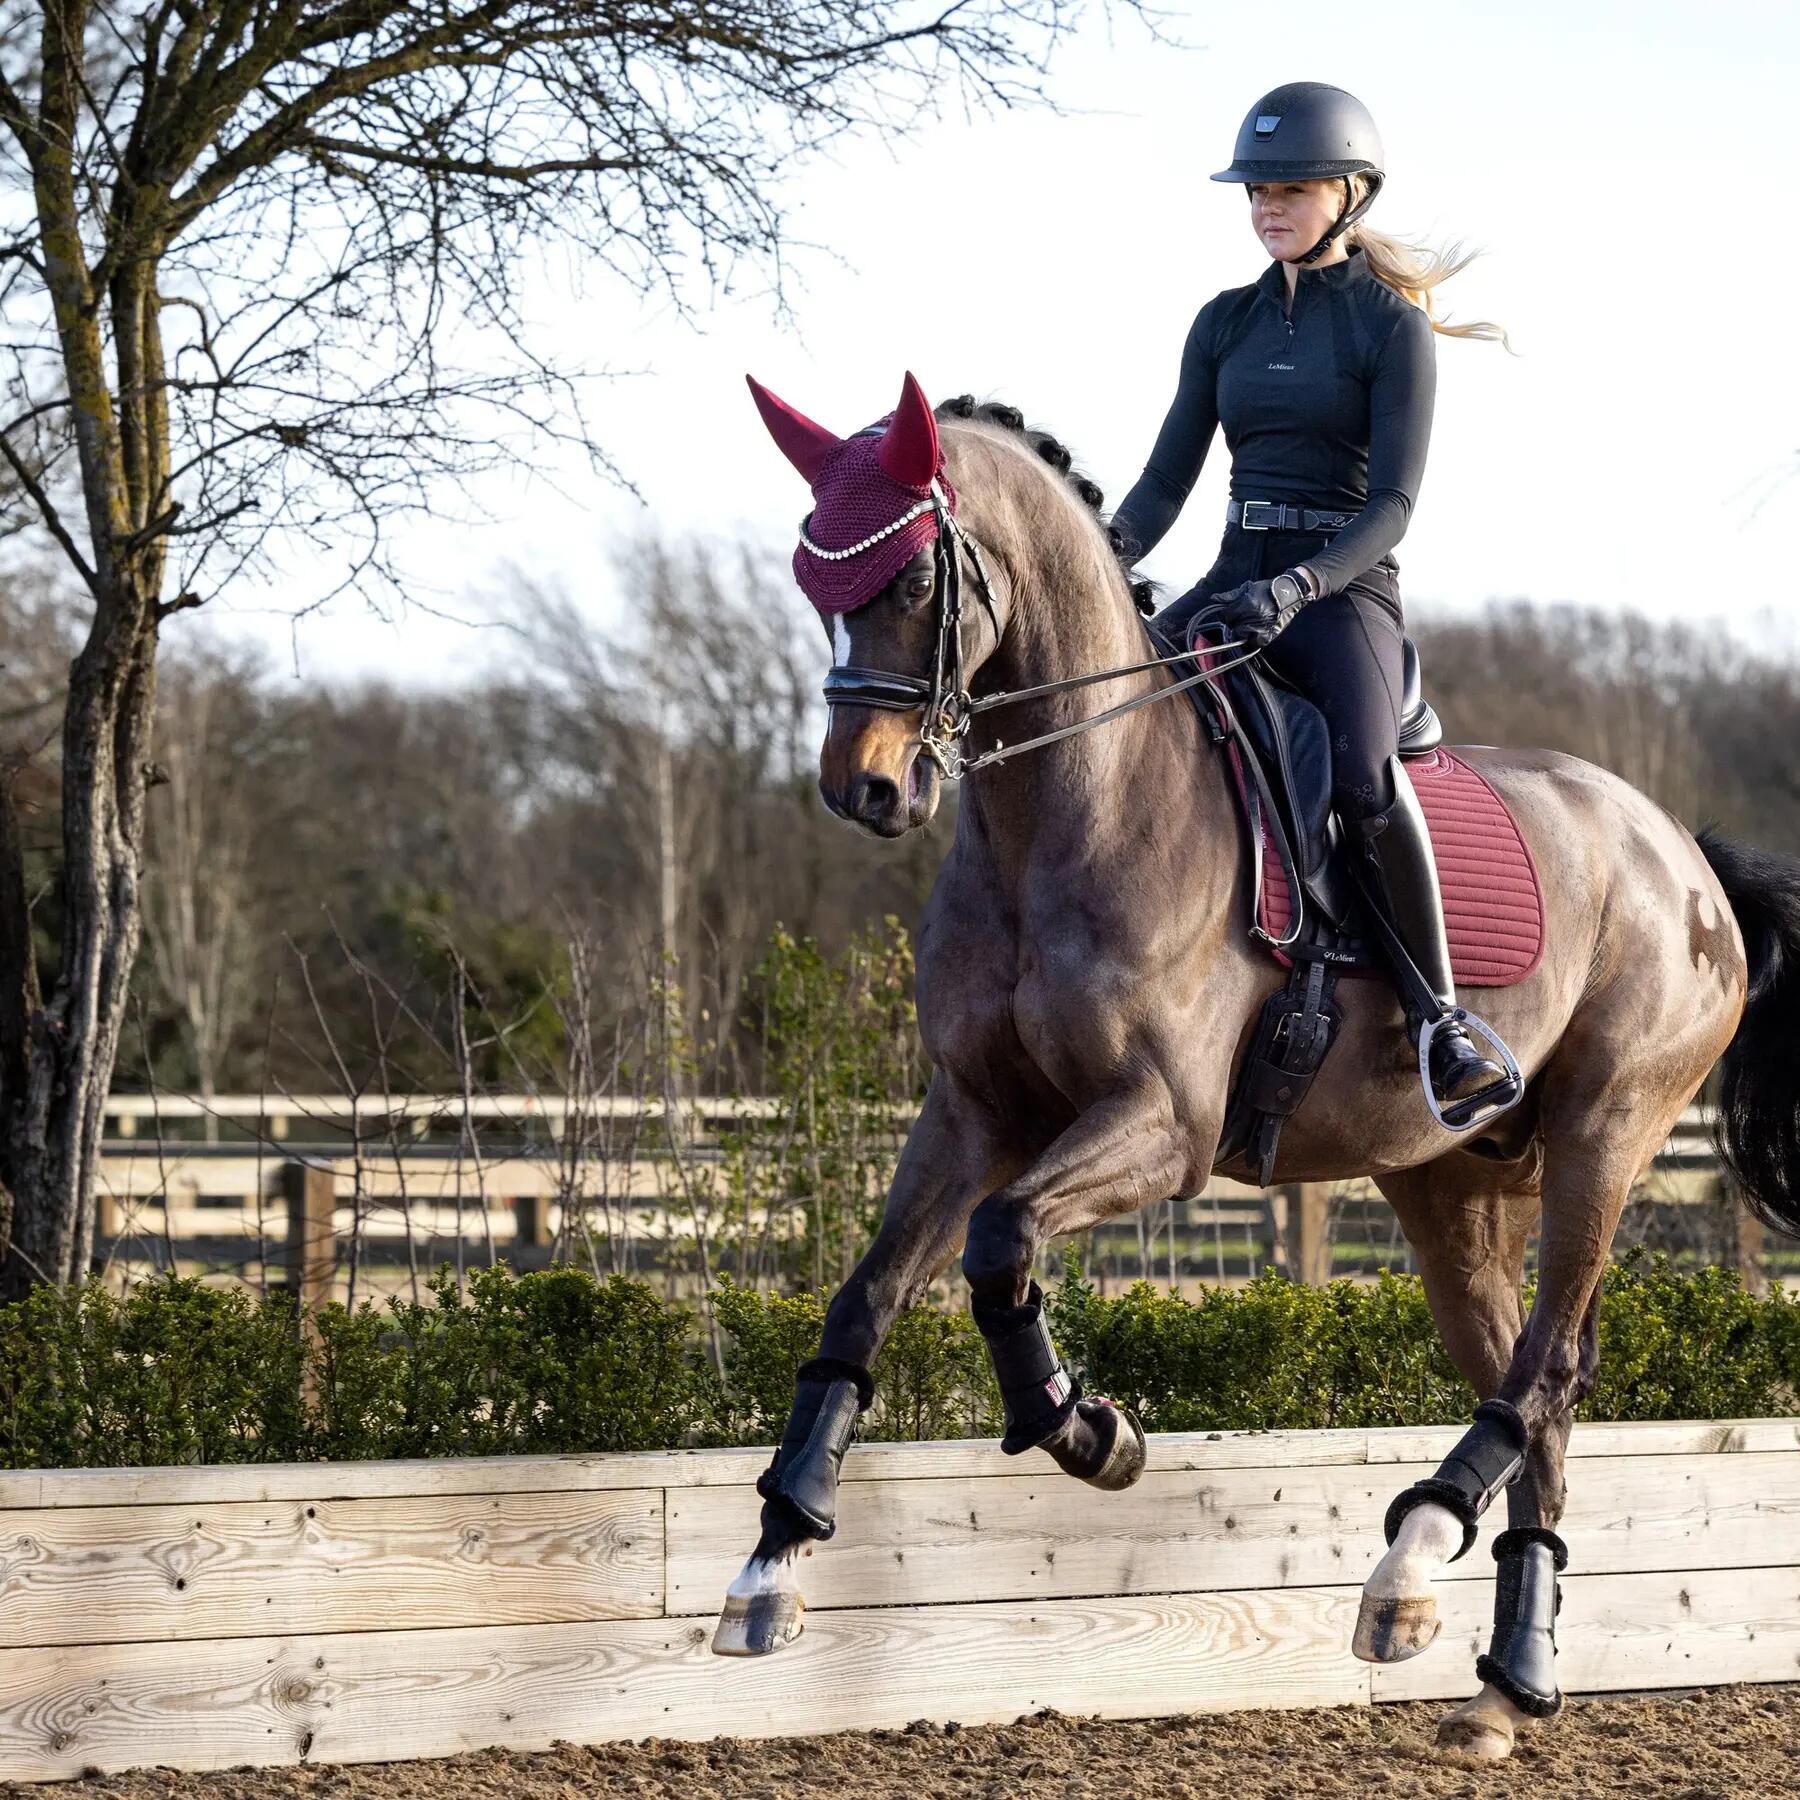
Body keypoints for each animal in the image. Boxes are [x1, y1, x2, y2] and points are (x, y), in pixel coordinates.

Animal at [712, 371, 1800, 1763]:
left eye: (909, 579)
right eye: (816, 580)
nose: (866, 790)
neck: (1069, 807)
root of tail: (1687, 855)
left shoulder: (1163, 1127)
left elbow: (1001, 1242)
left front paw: (1086, 1428)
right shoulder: (971, 1112)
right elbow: (869, 1295)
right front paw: (774, 1555)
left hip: (1605, 1135)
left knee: (1545, 1369)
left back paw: (1415, 1554)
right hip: (1454, 1190)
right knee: (1531, 1388)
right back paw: (1500, 1678)